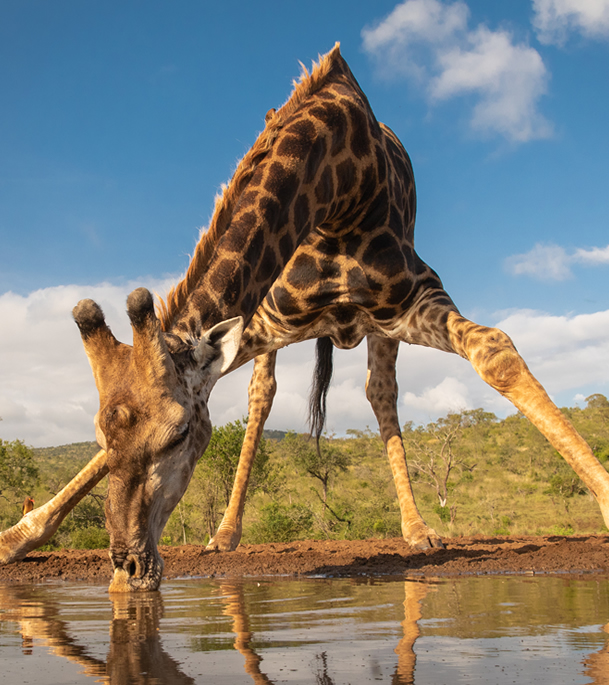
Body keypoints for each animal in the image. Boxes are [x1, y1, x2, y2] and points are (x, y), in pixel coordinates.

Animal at [1, 44, 608, 590]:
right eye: (100, 436)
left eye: (179, 436)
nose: (127, 567)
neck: (338, 189)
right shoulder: (261, 322)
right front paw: (17, 537)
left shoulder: (414, 296)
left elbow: (496, 349)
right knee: (262, 397)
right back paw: (224, 534)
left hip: (379, 327)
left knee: (380, 391)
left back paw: (417, 530)